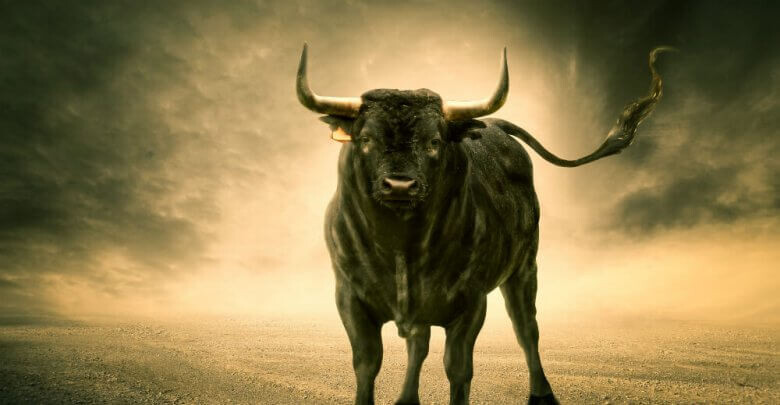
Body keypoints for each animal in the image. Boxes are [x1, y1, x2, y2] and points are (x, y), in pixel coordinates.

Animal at [296, 44, 671, 405]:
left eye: (434, 142)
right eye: (366, 139)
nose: (399, 186)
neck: (403, 247)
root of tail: (495, 125)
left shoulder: (472, 302)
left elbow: (458, 368)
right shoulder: (349, 296)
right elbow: (368, 362)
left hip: (524, 268)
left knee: (526, 328)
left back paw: (541, 392)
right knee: (420, 342)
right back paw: (407, 398)